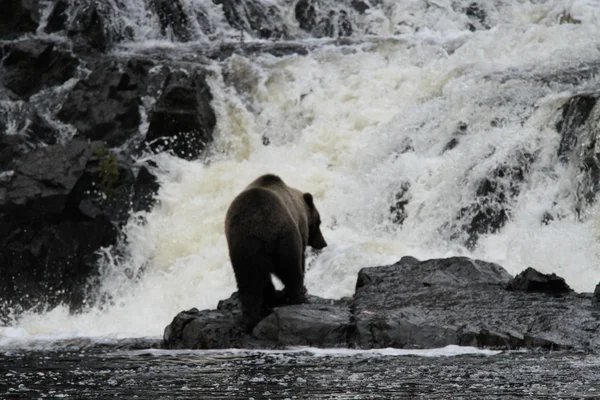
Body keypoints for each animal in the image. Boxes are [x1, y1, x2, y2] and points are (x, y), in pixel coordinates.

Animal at [225, 174, 328, 332]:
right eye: (319, 222)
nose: (323, 243)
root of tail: (263, 227)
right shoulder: (300, 228)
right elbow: (301, 260)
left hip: (243, 248)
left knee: (248, 282)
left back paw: (250, 318)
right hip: (285, 239)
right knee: (292, 270)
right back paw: (299, 297)